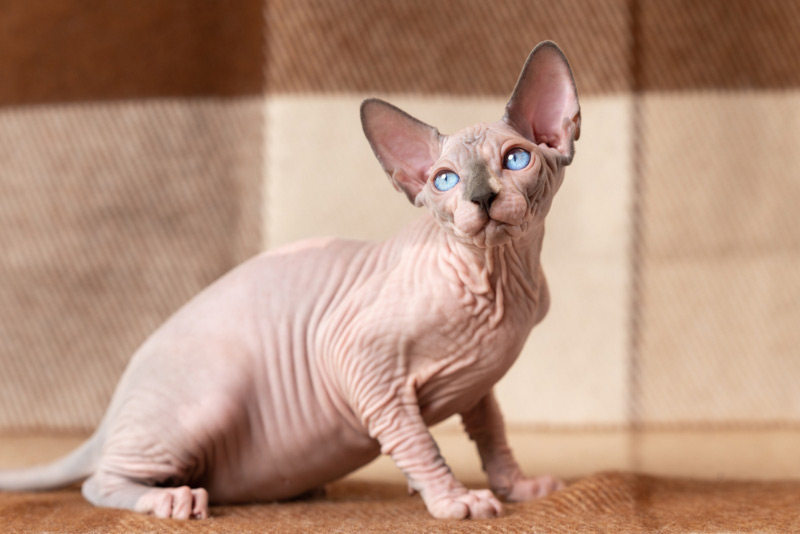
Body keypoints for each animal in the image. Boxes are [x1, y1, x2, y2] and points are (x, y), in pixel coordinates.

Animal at [0, 42, 580, 524]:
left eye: (516, 158)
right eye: (445, 181)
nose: (480, 197)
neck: (500, 282)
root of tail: (113, 407)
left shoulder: (478, 385)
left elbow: (492, 434)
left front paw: (518, 487)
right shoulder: (357, 360)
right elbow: (418, 441)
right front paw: (453, 499)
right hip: (211, 395)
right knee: (98, 481)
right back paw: (169, 498)